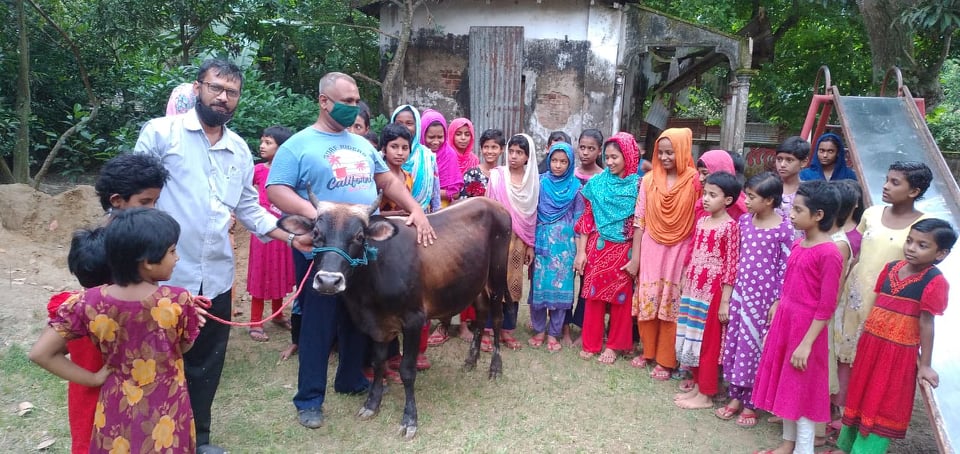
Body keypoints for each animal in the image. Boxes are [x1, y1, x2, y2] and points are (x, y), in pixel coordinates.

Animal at [280, 196, 510, 440]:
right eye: (315, 233)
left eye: (359, 236)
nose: (328, 281)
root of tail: (492, 203)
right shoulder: (378, 325)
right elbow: (378, 363)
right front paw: (372, 404)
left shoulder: (414, 320)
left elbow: (407, 371)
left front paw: (410, 419)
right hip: (475, 282)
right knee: (481, 314)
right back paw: (471, 360)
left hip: (497, 276)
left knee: (496, 318)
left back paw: (495, 367)